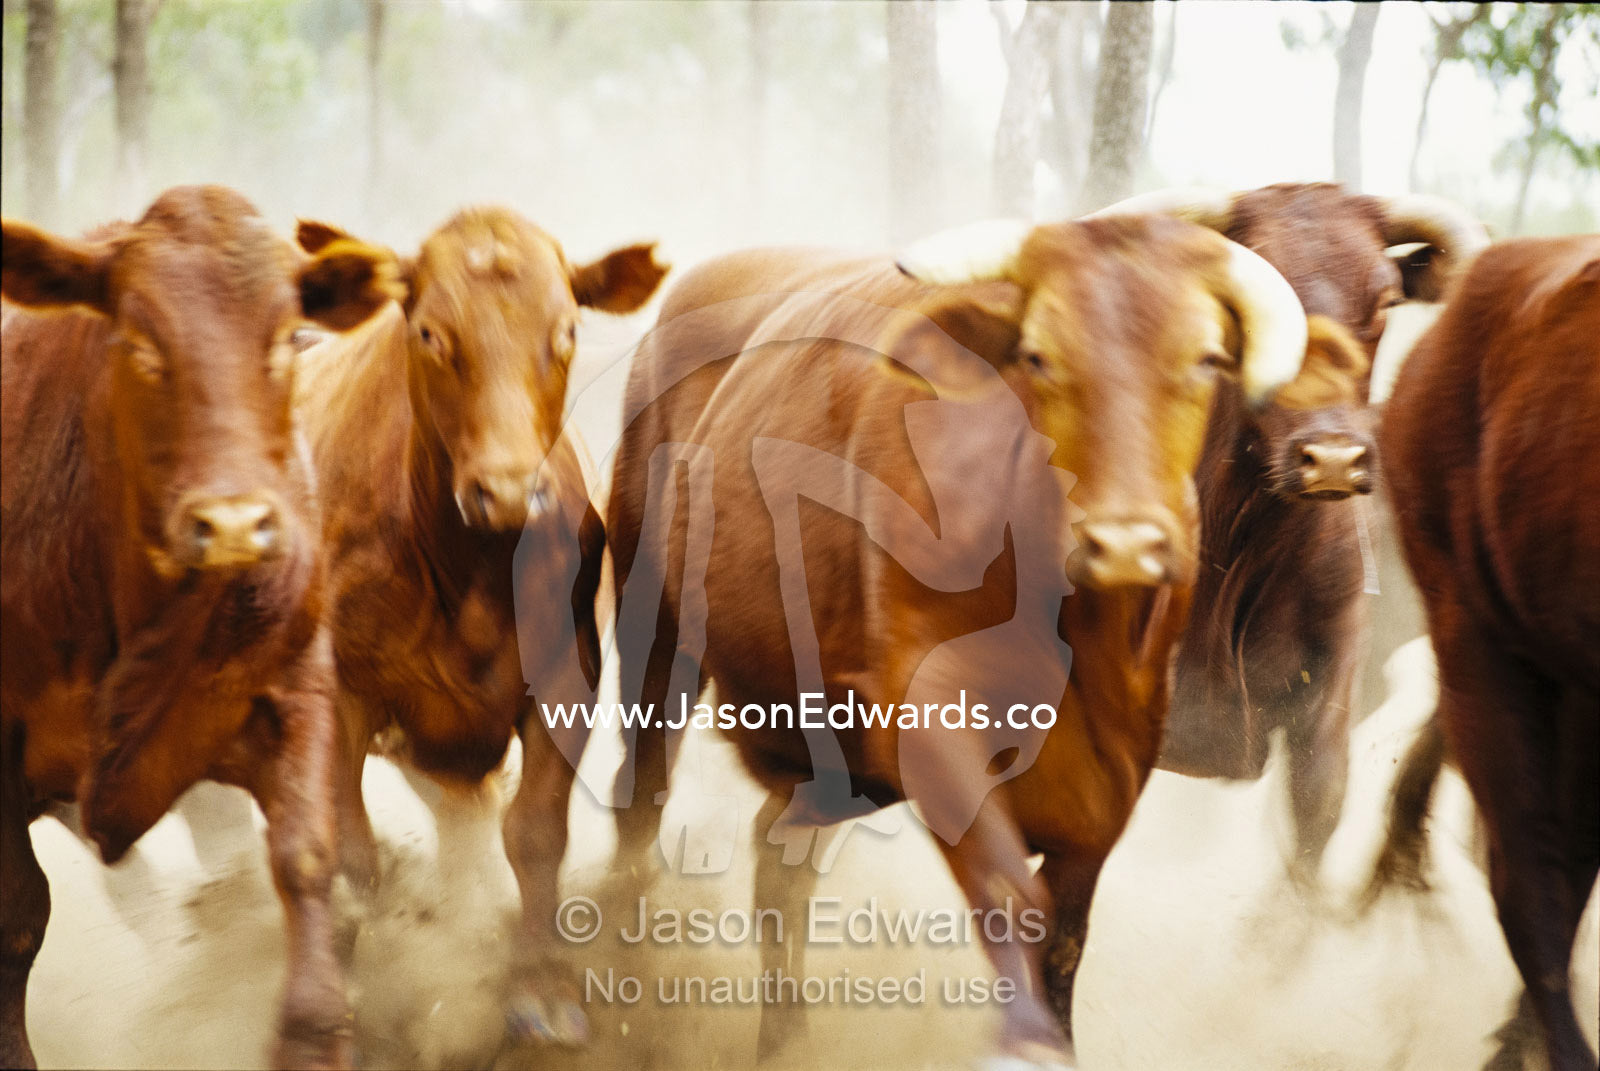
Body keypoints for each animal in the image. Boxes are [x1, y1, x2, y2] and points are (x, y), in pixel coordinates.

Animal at [0, 185, 399, 1070]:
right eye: (141, 342)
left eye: (286, 337)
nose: (235, 523)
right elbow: (16, 919)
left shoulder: (296, 689)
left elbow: (305, 856)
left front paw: (315, 1030)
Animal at [289, 208, 666, 1049]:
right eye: (430, 332)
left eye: (566, 330)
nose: (508, 489)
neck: (469, 574)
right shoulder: (345, 695)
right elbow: (347, 849)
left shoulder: (567, 681)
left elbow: (535, 833)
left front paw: (538, 985)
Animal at [603, 215, 1309, 1067]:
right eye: (1038, 355)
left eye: (1206, 358)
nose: (1126, 544)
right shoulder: (928, 721)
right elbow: (1009, 892)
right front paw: (1025, 1041)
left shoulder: (1116, 770)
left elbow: (1064, 934)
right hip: (651, 629)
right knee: (640, 806)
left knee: (779, 858)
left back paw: (787, 1038)